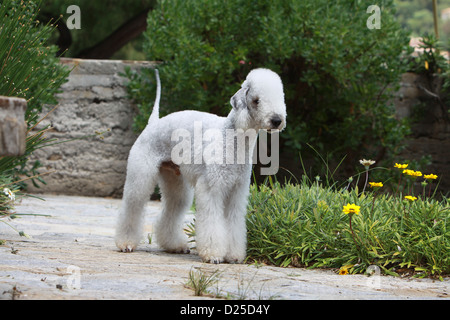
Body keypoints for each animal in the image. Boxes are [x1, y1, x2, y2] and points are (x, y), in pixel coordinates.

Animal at [114, 67, 286, 262]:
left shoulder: (236, 192)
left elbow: (234, 223)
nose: (277, 120)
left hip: (175, 181)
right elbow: (212, 223)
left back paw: (175, 246)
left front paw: (234, 256)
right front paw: (213, 255)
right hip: (140, 175)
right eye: (256, 100)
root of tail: (153, 123)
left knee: (171, 210)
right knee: (132, 206)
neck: (230, 139)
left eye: (280, 97)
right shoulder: (211, 188)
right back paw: (126, 243)